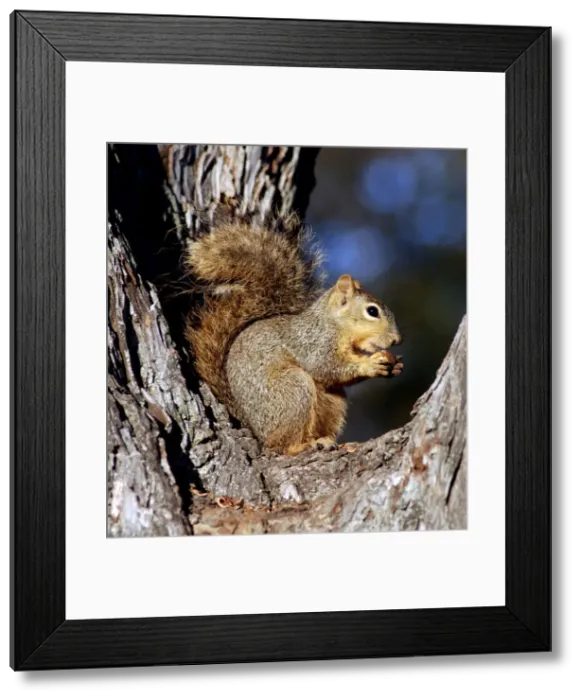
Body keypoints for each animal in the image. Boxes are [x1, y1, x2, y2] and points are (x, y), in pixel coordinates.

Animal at [184, 215, 403, 456]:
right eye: (372, 311)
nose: (397, 340)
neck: (334, 324)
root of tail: (254, 428)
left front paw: (395, 366)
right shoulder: (314, 343)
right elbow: (326, 367)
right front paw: (371, 364)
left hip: (333, 403)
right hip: (292, 391)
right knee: (280, 446)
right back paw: (304, 444)